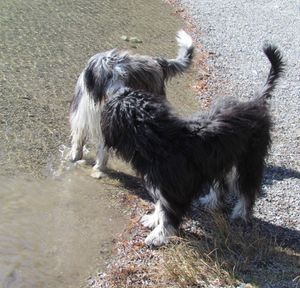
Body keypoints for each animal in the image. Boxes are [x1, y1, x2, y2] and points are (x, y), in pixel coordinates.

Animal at [69, 29, 193, 178]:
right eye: (108, 75)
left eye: (123, 76)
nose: (122, 90)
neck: (101, 100)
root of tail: (157, 61)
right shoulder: (81, 115)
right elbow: (78, 137)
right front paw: (75, 156)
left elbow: (103, 148)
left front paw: (98, 168)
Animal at [100, 44, 284, 245]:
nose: (116, 88)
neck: (161, 140)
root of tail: (256, 102)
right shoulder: (163, 184)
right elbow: (160, 205)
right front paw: (153, 219)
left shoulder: (173, 188)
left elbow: (168, 212)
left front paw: (159, 235)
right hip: (222, 159)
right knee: (222, 185)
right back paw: (211, 202)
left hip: (249, 159)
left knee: (247, 189)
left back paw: (241, 213)